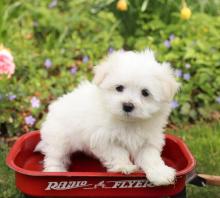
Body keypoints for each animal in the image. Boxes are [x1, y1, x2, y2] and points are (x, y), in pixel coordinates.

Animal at [35, 49, 179, 186]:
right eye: (119, 88)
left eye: (145, 93)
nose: (128, 105)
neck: (128, 122)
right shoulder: (102, 138)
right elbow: (117, 152)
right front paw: (124, 166)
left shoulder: (148, 139)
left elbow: (151, 156)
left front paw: (160, 173)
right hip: (59, 137)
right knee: (54, 156)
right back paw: (55, 171)